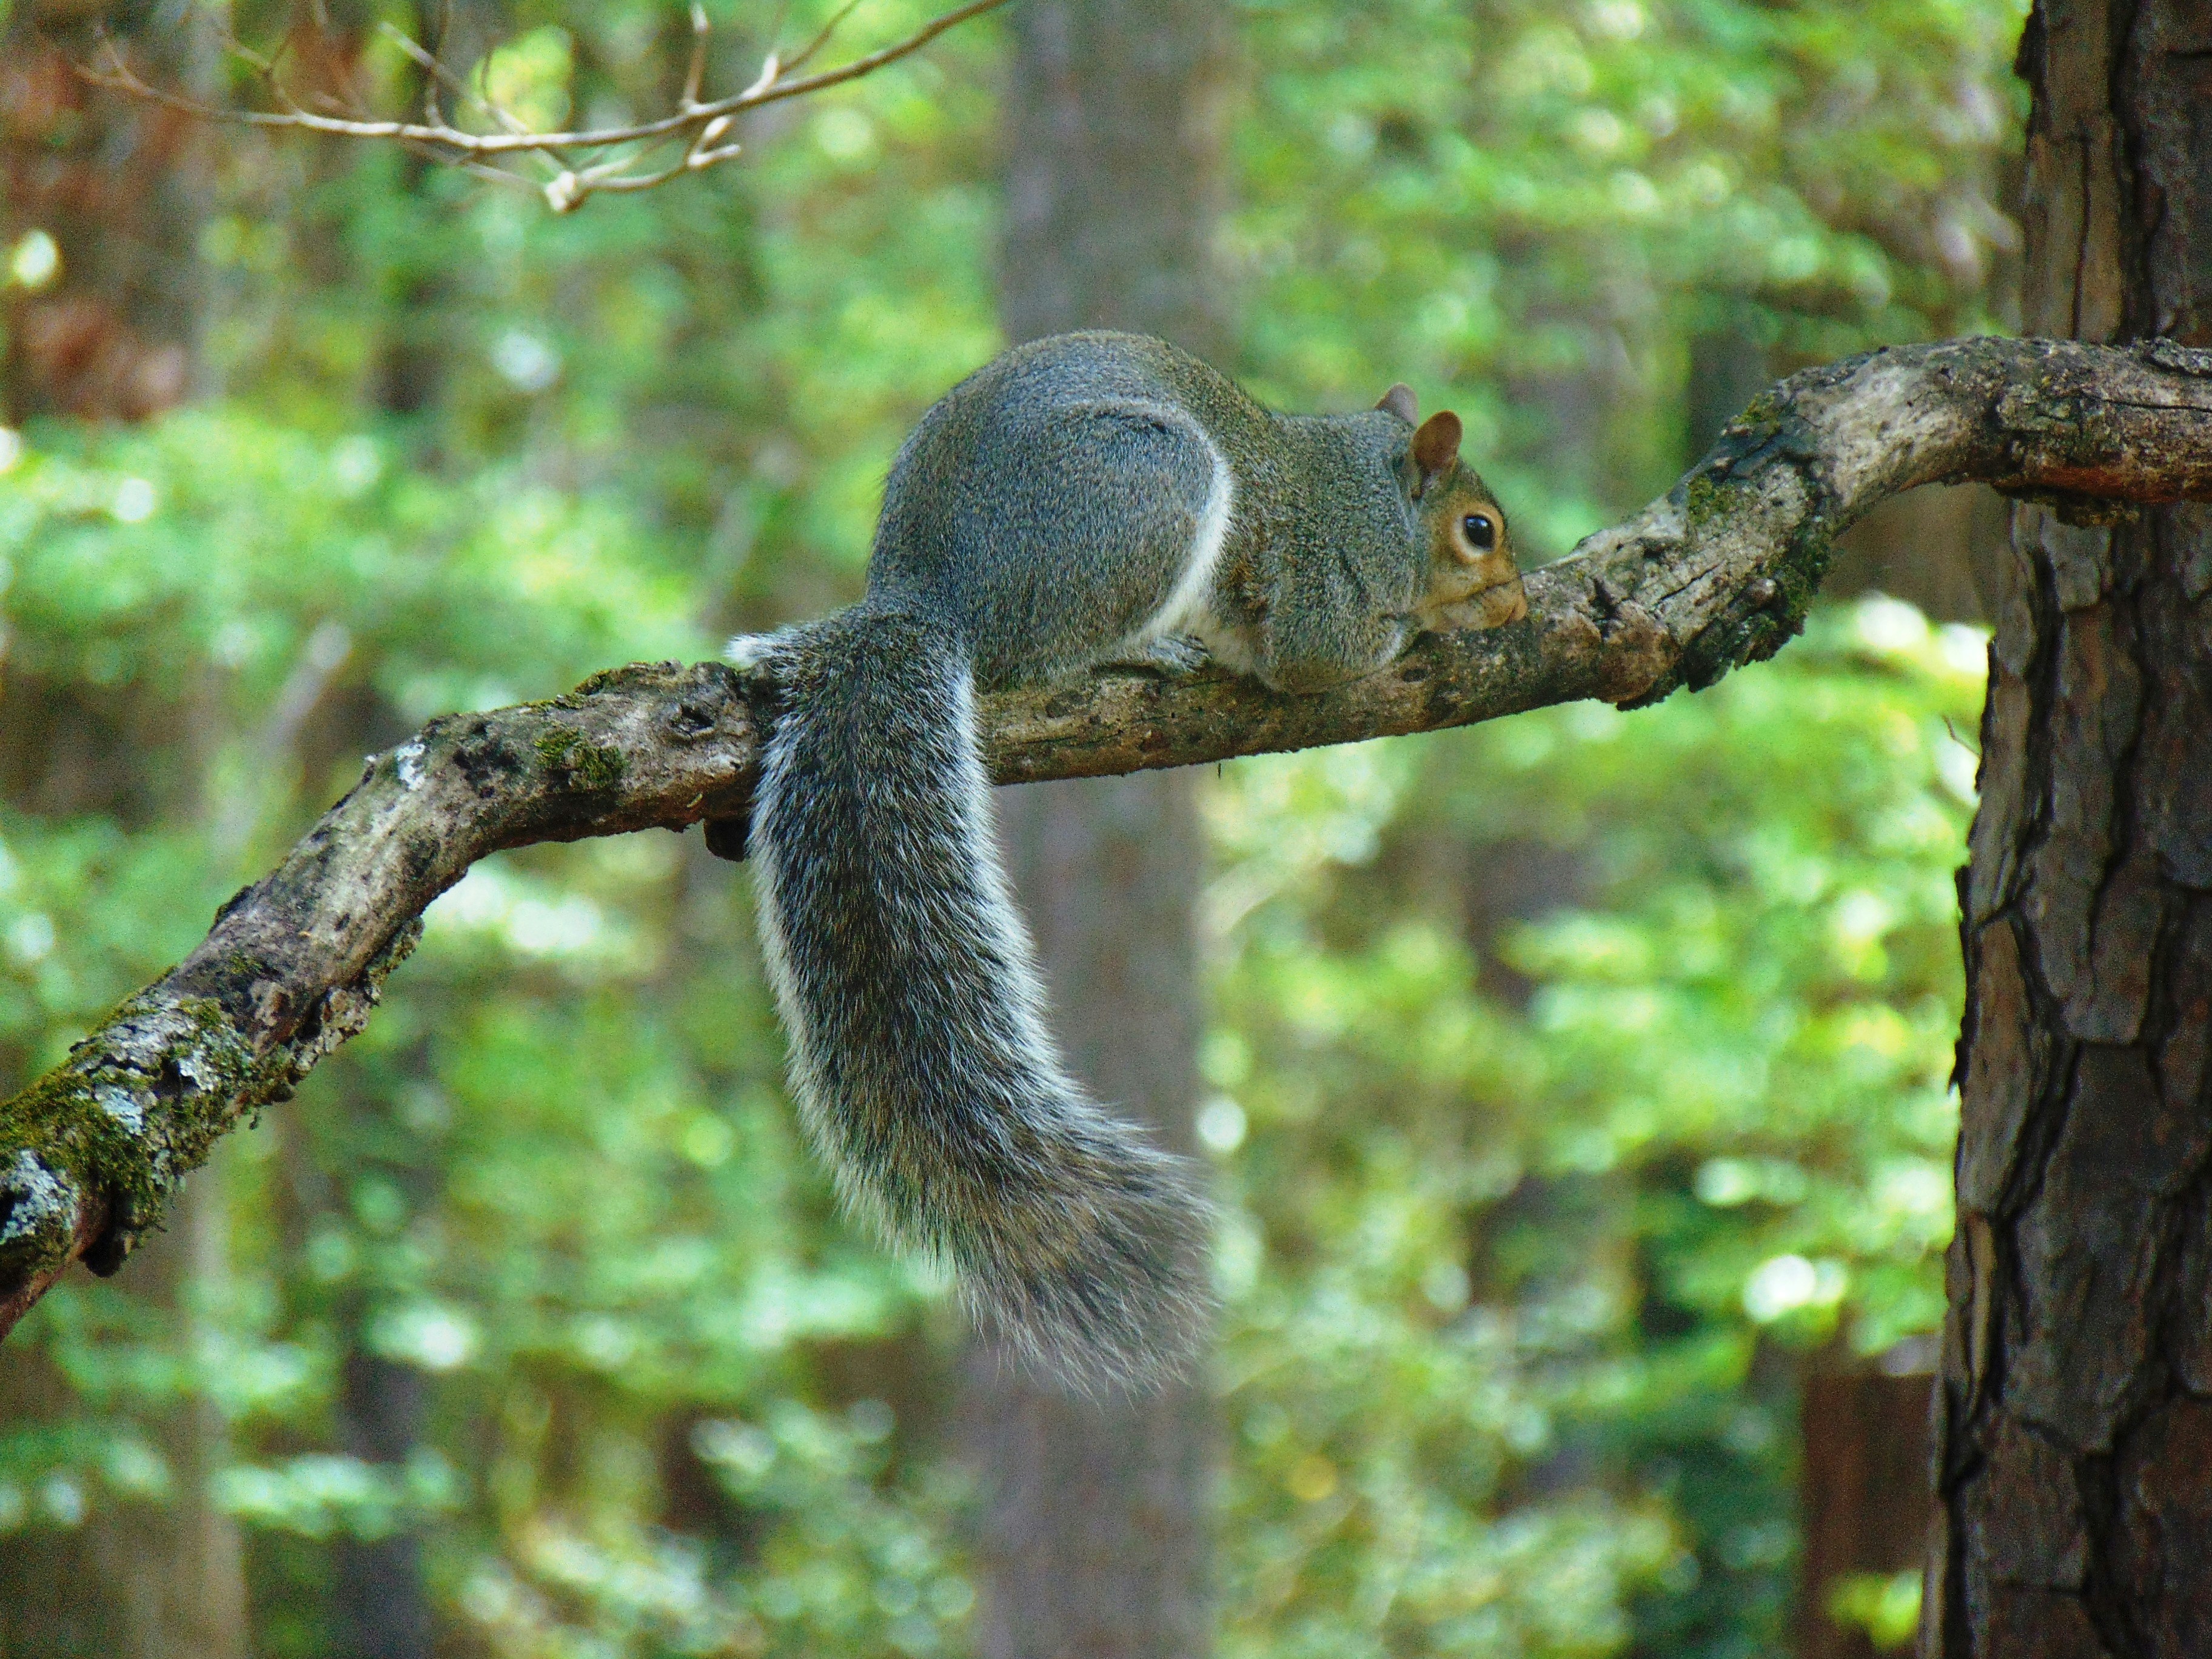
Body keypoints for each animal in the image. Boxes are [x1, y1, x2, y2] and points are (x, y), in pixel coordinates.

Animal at [727, 330, 1525, 1388]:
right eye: (1479, 530)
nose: (1519, 606)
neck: (1366, 488)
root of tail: (933, 597)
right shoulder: (1322, 582)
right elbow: (1323, 657)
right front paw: (1428, 624)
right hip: (1145, 485)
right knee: (1037, 664)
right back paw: (1144, 656)